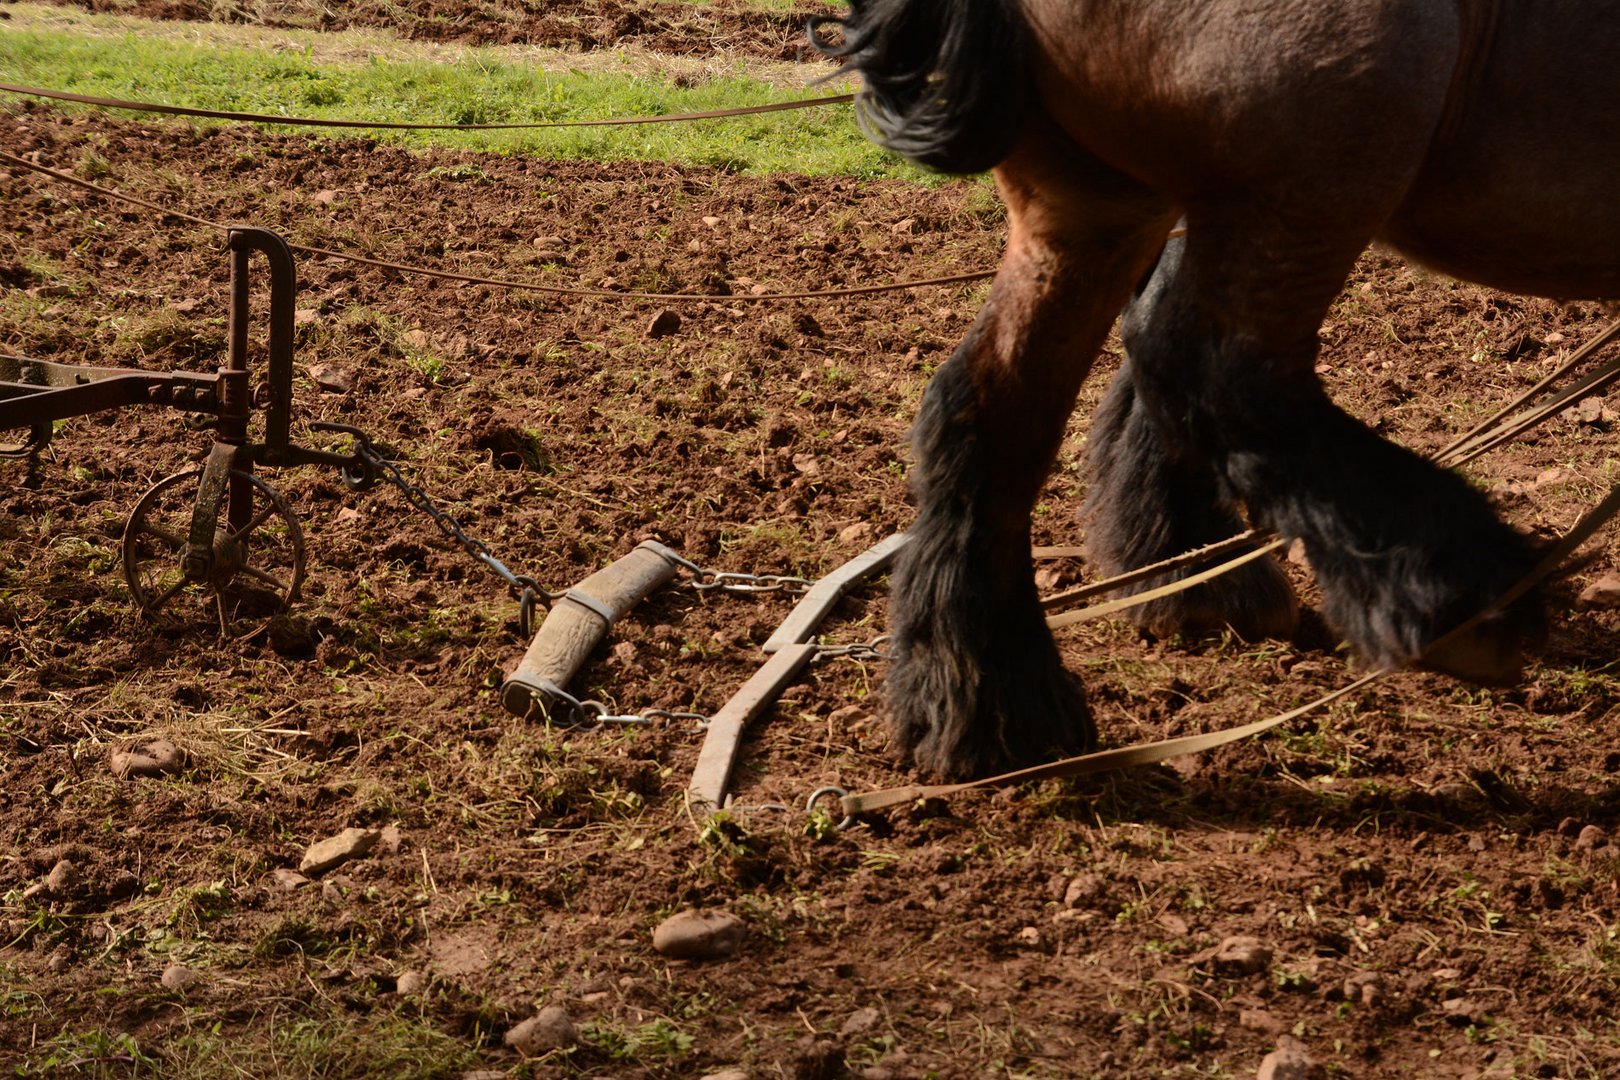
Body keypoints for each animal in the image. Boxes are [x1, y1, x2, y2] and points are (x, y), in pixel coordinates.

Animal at [816, 0, 1620, 777]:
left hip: (1098, 203)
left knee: (996, 403)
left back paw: (995, 701)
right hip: (1311, 169)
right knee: (1202, 369)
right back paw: (1454, 597)